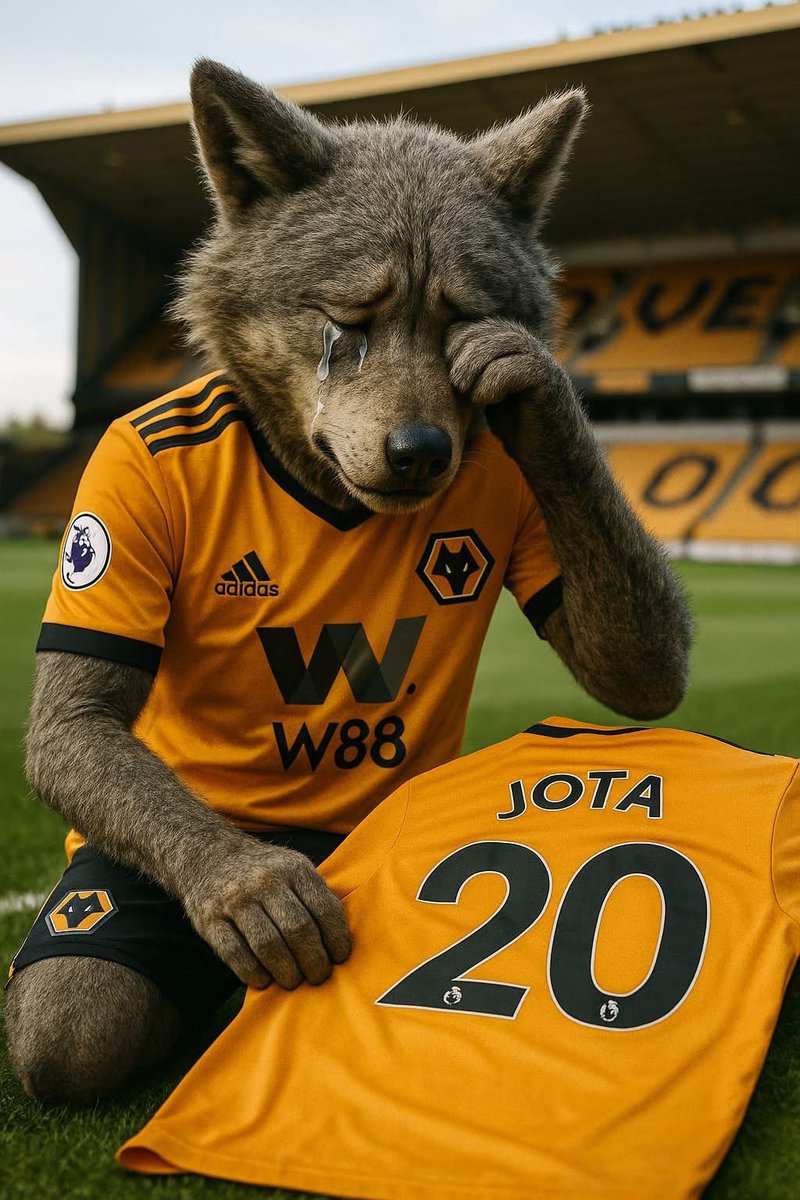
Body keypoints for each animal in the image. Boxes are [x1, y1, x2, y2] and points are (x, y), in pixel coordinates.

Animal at [7, 60, 691, 1105]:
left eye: (462, 321)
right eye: (348, 324)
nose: (422, 451)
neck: (318, 480)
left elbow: (638, 675)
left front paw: (534, 382)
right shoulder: (119, 479)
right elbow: (73, 716)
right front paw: (250, 885)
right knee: (73, 1014)